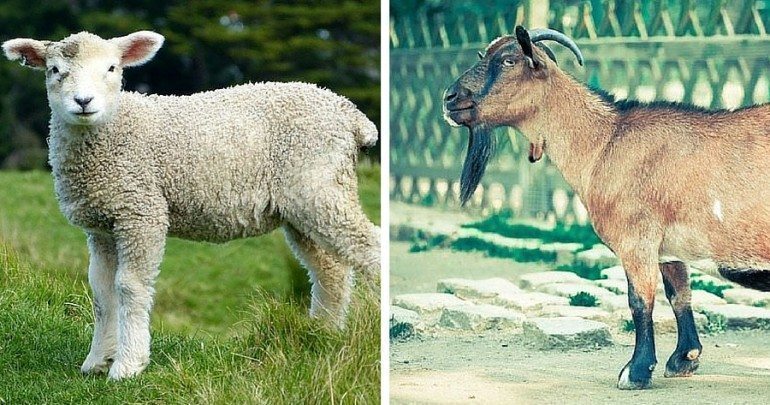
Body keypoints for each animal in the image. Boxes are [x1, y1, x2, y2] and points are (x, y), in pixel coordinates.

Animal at [2, 30, 380, 381]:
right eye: (54, 70)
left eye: (112, 68)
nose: (83, 101)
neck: (114, 129)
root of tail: (349, 113)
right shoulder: (103, 224)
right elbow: (101, 291)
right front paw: (97, 361)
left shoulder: (141, 212)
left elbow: (129, 286)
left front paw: (127, 365)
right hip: (304, 203)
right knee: (330, 270)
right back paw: (323, 335)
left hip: (320, 187)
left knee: (369, 248)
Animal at [443, 25, 770, 390]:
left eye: (508, 60)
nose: (450, 98)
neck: (605, 141)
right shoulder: (668, 249)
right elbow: (679, 294)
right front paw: (683, 359)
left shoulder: (636, 239)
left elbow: (639, 300)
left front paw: (635, 372)